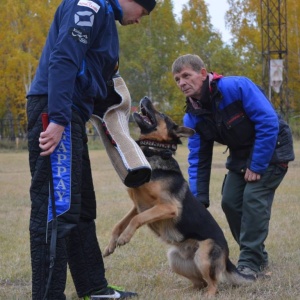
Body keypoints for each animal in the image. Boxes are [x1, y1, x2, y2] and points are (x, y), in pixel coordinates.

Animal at [103, 96, 255, 296]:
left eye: (161, 114)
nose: (145, 98)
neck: (155, 150)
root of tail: (227, 257)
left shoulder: (167, 207)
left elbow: (137, 220)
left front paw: (124, 238)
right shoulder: (137, 206)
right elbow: (119, 224)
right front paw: (110, 245)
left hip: (203, 256)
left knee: (213, 285)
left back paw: (207, 296)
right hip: (174, 259)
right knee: (199, 283)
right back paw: (182, 291)